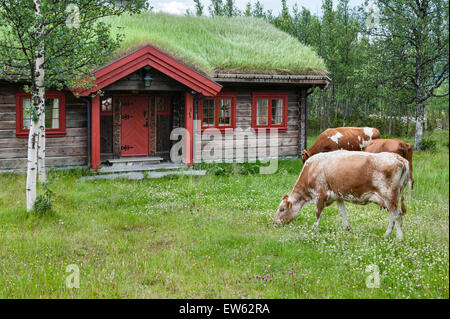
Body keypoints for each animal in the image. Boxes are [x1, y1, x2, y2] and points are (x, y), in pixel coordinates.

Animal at [272, 151, 410, 241]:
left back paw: (399, 238)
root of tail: (400, 158)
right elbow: (343, 212)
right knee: (392, 215)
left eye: (282, 209)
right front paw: (348, 228)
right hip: (391, 199)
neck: (311, 170)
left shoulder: (320, 194)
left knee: (397, 214)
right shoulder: (338, 196)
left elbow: (318, 213)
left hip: (389, 196)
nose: (273, 223)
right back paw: (387, 234)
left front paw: (314, 228)